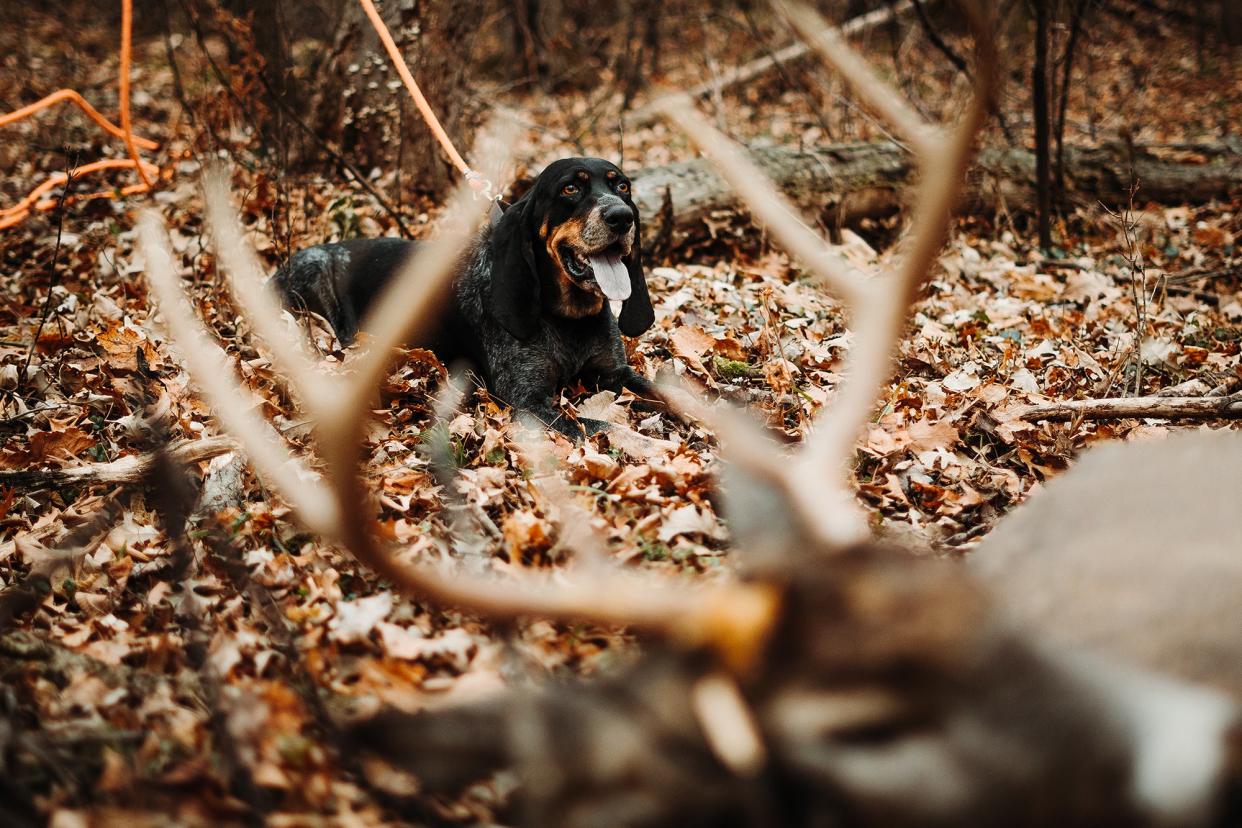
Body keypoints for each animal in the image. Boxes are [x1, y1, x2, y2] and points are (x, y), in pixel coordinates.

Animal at [273, 157, 660, 439]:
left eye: (622, 186)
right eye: (570, 188)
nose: (622, 216)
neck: (568, 318)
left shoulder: (614, 373)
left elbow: (668, 394)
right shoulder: (528, 402)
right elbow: (613, 430)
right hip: (315, 275)